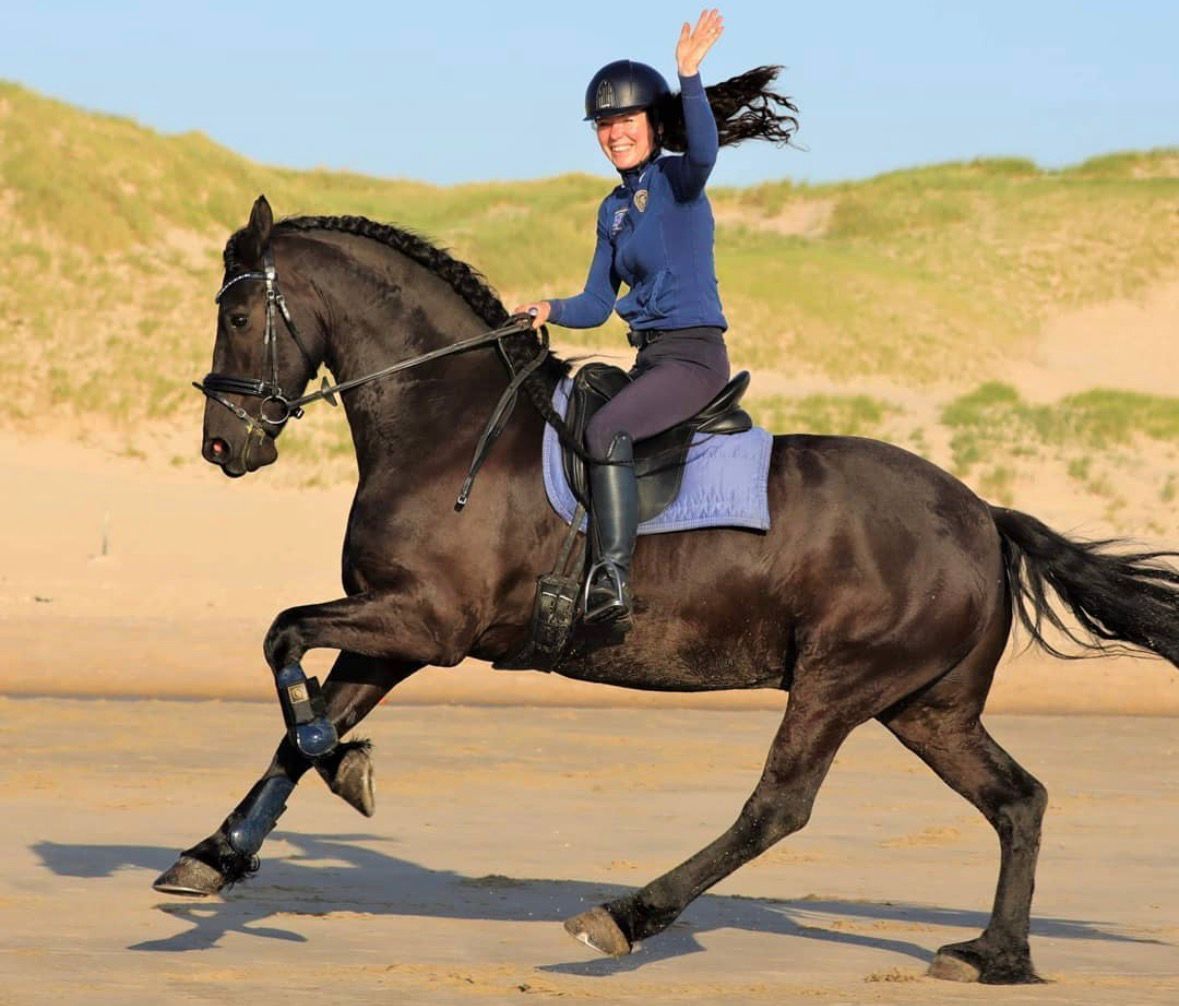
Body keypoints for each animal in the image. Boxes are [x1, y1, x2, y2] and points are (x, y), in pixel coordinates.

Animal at [155, 195, 1179, 984]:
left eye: (237, 318)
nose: (223, 445)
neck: (445, 428)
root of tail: (978, 516)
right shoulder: (393, 632)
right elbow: (297, 718)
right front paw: (217, 855)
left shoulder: (427, 625)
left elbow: (283, 641)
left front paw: (341, 766)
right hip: (926, 706)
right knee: (1017, 800)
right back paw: (995, 955)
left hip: (841, 683)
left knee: (778, 808)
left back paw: (626, 915)